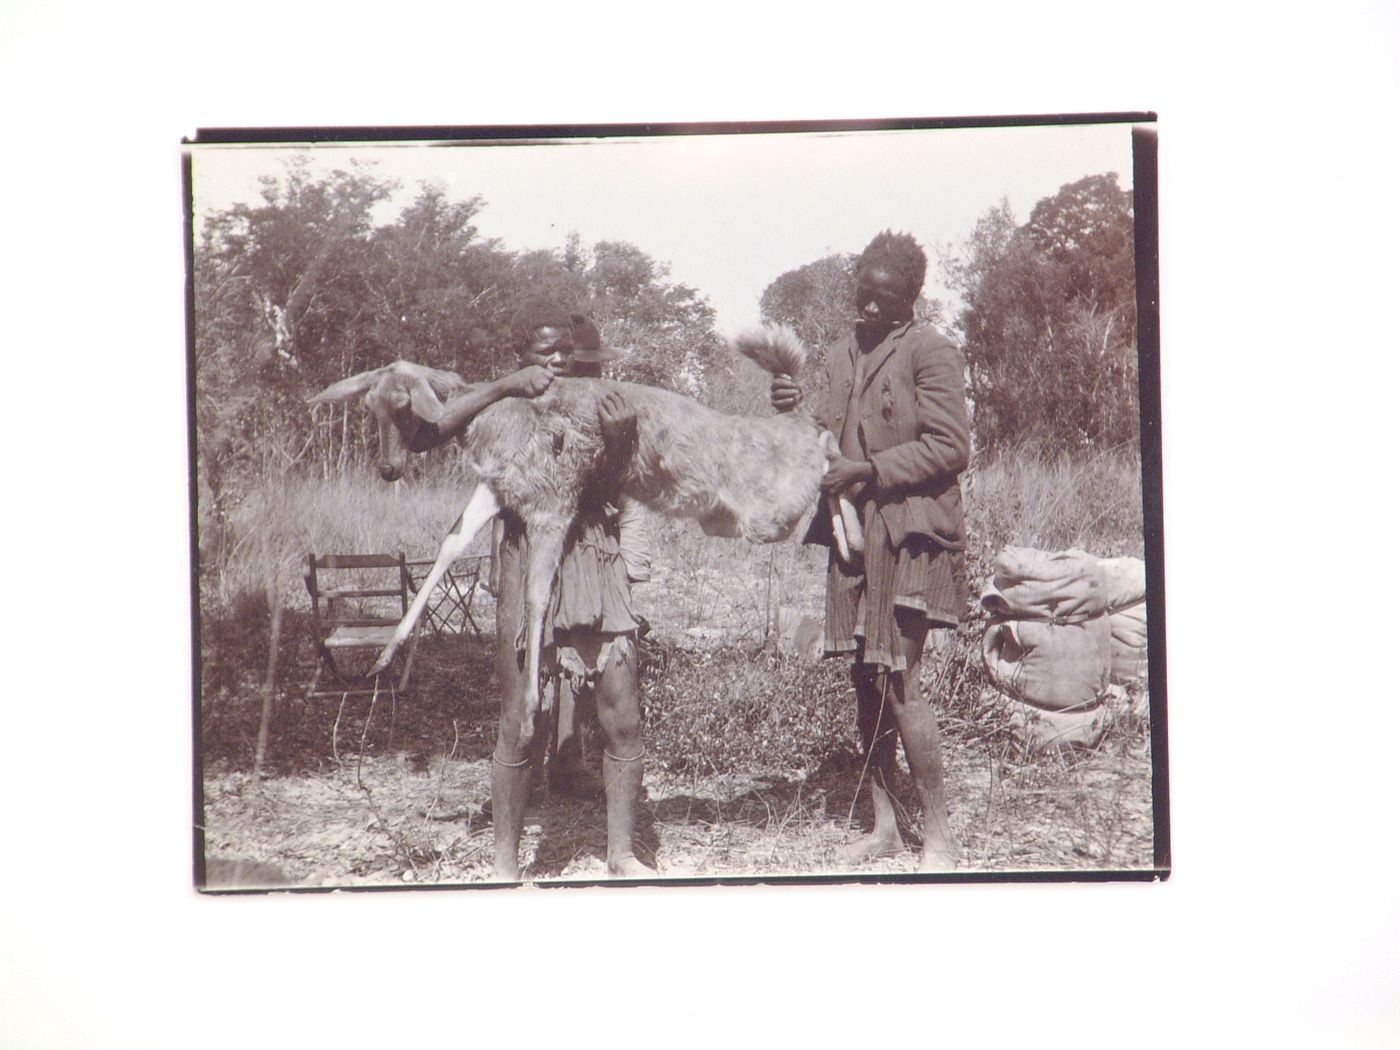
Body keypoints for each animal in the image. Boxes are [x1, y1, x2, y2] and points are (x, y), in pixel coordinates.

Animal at [310, 327, 856, 739]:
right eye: (370, 408)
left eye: (404, 407)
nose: (387, 469)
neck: (491, 415)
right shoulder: (498, 490)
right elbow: (449, 546)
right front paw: (383, 656)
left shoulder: (552, 505)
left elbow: (535, 594)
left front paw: (531, 706)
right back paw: (852, 539)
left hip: (772, 507)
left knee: (826, 446)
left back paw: (851, 528)